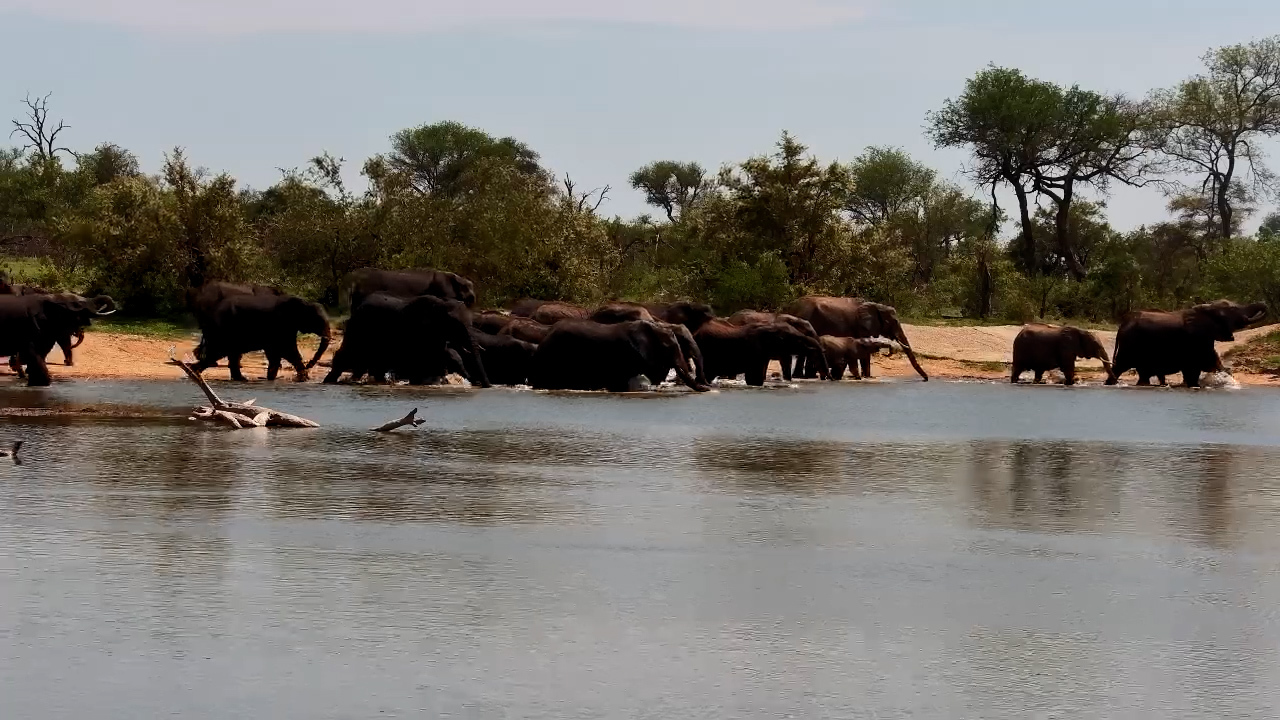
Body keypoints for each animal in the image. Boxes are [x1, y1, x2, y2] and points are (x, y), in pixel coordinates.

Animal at [192, 294, 332, 381]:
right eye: (317, 320)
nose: (309, 365)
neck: (304, 302)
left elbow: (275, 353)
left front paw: (271, 378)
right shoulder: (282, 324)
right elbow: (287, 350)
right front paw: (303, 379)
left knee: (229, 354)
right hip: (222, 330)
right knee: (217, 353)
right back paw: (194, 372)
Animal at [325, 293, 490, 387]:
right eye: (456, 325)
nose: (483, 385)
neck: (441, 305)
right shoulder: (417, 329)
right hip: (359, 327)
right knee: (348, 355)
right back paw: (329, 381)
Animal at [783, 296, 928, 381]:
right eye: (894, 322)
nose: (925, 379)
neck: (877, 305)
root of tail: (791, 306)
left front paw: (866, 376)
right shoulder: (861, 326)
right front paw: (868, 377)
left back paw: (805, 376)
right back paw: (803, 377)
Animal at [1108, 300, 1266, 387]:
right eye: (1233, 310)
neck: (1208, 310)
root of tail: (1123, 324)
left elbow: (1215, 364)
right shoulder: (1195, 340)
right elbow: (1194, 370)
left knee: (1142, 374)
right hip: (1129, 344)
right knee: (1119, 368)